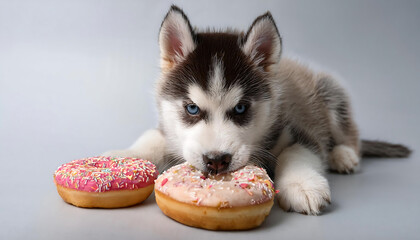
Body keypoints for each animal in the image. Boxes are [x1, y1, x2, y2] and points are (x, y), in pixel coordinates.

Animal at [103, 5, 412, 216]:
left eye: (241, 108)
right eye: (192, 108)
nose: (216, 161)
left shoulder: (299, 130)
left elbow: (296, 152)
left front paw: (303, 185)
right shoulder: (169, 131)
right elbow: (151, 138)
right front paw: (123, 156)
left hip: (330, 91)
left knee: (349, 134)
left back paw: (344, 155)